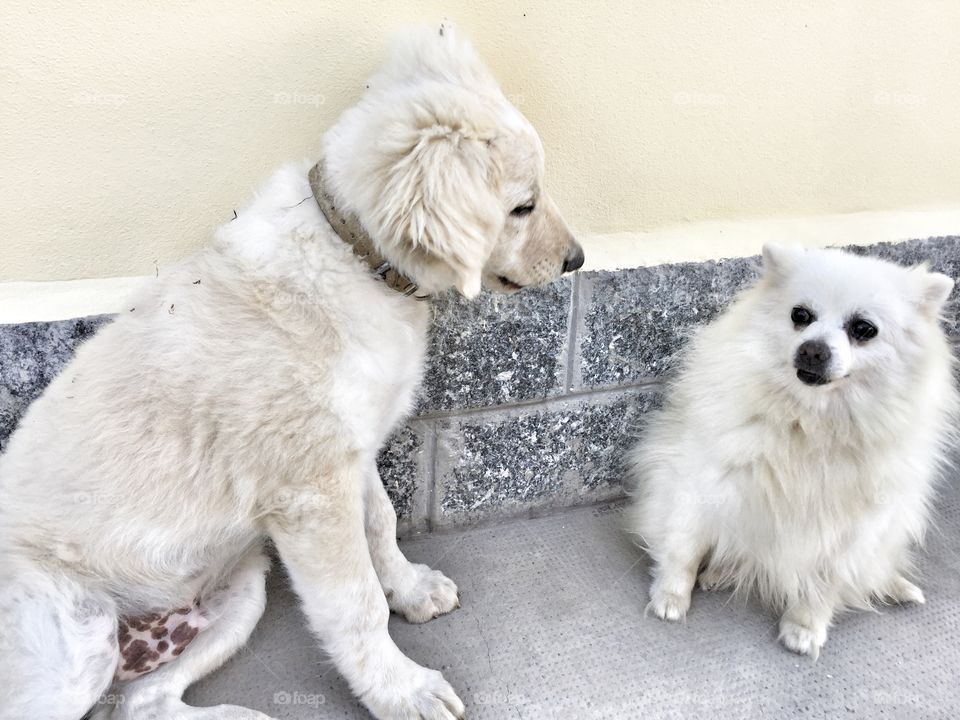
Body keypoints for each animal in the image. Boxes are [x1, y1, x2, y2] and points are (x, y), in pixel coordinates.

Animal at [0, 25, 584, 720]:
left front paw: (411, 590)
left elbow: (383, 525)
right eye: (522, 206)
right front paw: (403, 689)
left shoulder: (351, 453)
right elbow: (355, 605)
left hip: (240, 590)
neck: (354, 259)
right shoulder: (310, 494)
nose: (578, 260)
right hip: (77, 640)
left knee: (145, 701)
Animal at [632, 246, 952, 660]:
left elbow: (827, 582)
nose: (813, 349)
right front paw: (671, 596)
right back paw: (717, 573)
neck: (810, 423)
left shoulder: (856, 530)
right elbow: (683, 547)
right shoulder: (702, 485)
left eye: (864, 329)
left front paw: (805, 627)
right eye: (800, 315)